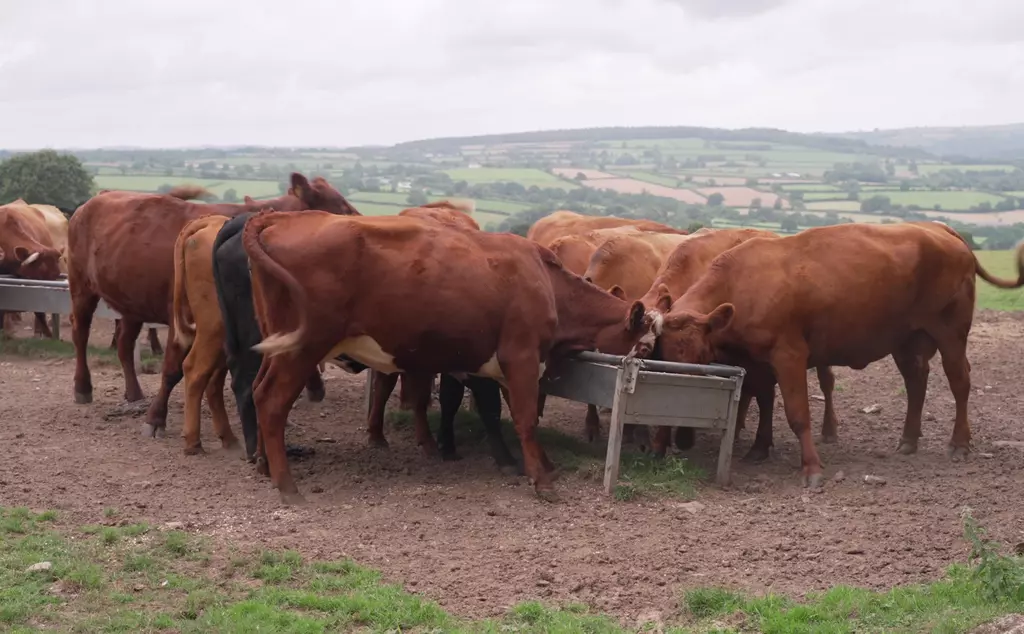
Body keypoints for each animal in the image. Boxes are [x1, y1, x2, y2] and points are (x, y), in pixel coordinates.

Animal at [67, 172, 357, 443]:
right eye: (341, 206)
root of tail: (96, 198)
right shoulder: (181, 320)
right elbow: (172, 369)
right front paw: (156, 418)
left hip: (132, 303)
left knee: (125, 345)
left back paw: (134, 393)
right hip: (81, 287)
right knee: (80, 333)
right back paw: (83, 388)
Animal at [242, 211, 669, 503]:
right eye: (645, 346)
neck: (546, 283)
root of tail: (282, 216)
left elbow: (509, 415)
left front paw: (537, 465)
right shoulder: (521, 357)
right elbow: (525, 419)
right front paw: (542, 479)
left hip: (278, 344)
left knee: (257, 389)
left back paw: (264, 465)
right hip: (304, 348)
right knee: (272, 401)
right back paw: (287, 485)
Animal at [654, 221, 1024, 488]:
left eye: (702, 360)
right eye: (666, 357)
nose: (682, 434)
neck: (743, 283)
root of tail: (939, 229)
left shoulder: (789, 356)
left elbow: (798, 414)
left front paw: (811, 467)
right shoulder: (756, 363)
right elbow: (764, 402)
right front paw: (759, 448)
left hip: (951, 336)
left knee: (960, 382)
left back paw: (959, 443)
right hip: (906, 342)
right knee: (916, 383)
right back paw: (908, 440)